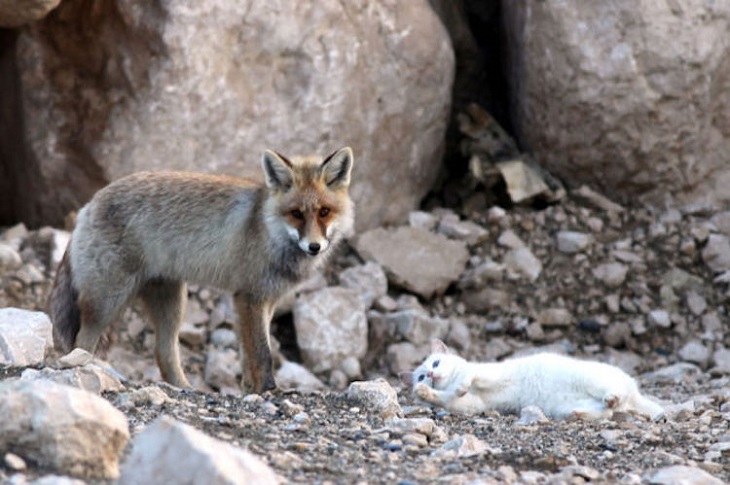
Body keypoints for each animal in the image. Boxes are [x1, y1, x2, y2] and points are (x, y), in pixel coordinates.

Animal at [47, 147, 354, 394]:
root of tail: (89, 204)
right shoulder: (250, 297)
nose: (314, 246)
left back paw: (185, 388)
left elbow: (248, 356)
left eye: (324, 212)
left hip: (172, 302)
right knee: (82, 342)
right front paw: (269, 390)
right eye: (296, 214)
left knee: (164, 353)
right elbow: (263, 354)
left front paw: (250, 391)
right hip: (107, 302)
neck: (267, 229)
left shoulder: (262, 301)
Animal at [400, 336, 664, 420]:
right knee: (608, 411)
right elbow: (448, 399)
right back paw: (579, 414)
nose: (430, 374)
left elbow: (469, 375)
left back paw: (610, 397)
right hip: (566, 406)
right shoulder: (474, 405)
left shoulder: (491, 374)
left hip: (594, 381)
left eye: (435, 363)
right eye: (421, 376)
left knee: (615, 396)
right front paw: (425, 392)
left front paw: (461, 385)